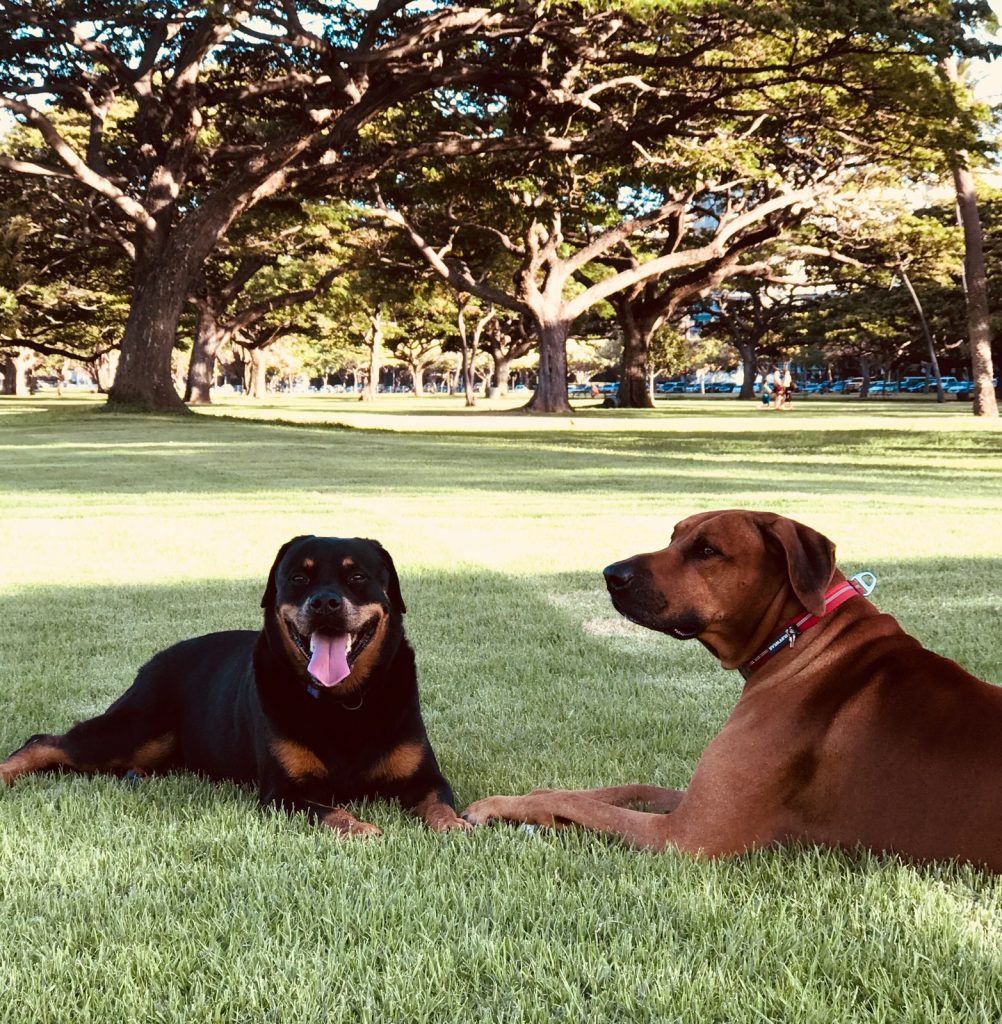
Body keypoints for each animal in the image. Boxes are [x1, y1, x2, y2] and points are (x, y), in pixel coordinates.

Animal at [0, 532, 470, 835]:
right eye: (298, 578)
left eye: (357, 577)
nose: (324, 602)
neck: (343, 703)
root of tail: (156, 660)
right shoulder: (284, 792)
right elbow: (331, 812)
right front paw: (361, 828)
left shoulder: (425, 777)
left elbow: (440, 804)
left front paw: (454, 826)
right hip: (133, 730)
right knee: (47, 741)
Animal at [466, 512, 1002, 872]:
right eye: (674, 536)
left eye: (707, 550)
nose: (610, 573)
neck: (800, 636)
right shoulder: (697, 799)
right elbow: (628, 789)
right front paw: (542, 796)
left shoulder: (689, 834)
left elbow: (592, 808)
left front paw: (503, 805)